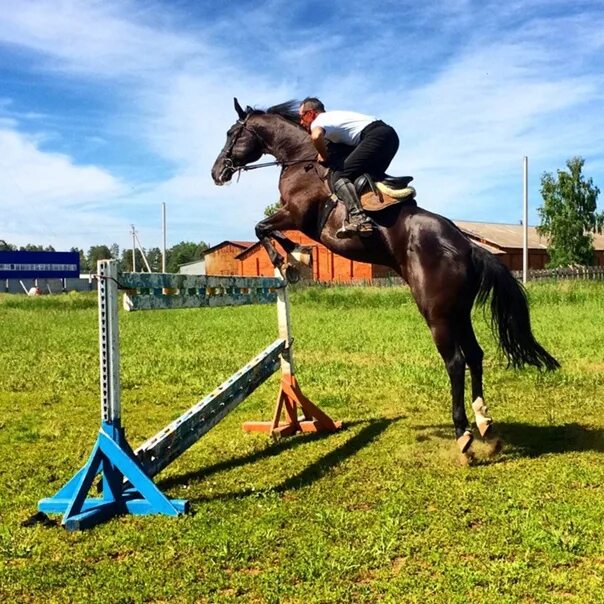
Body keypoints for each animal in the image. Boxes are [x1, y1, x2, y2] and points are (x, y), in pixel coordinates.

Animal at [210, 99, 560, 458]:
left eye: (232, 133)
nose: (217, 173)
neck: (301, 159)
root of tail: (468, 247)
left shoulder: (296, 213)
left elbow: (261, 228)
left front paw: (291, 258)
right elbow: (265, 230)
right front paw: (298, 256)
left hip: (437, 313)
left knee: (456, 361)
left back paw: (462, 433)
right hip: (459, 312)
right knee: (475, 355)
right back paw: (484, 421)